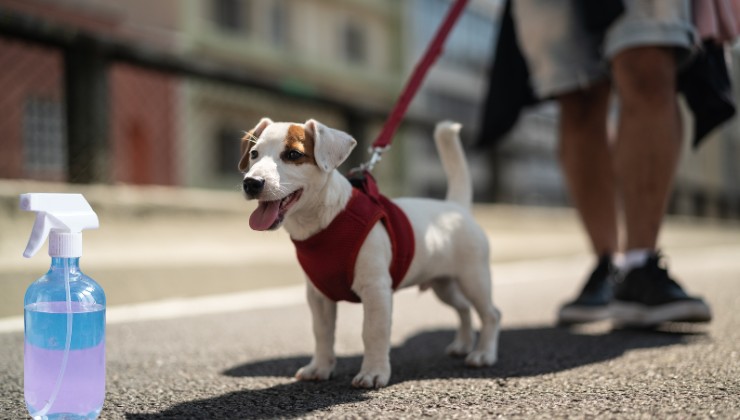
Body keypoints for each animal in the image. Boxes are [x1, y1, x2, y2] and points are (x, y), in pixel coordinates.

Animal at [240, 117, 500, 388]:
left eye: (293, 154)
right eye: (253, 154)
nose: (251, 183)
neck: (327, 221)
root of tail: (456, 207)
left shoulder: (376, 291)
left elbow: (373, 332)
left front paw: (374, 372)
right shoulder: (318, 296)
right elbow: (322, 333)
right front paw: (320, 367)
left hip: (474, 280)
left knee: (491, 314)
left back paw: (483, 354)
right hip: (444, 285)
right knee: (464, 309)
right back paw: (463, 344)